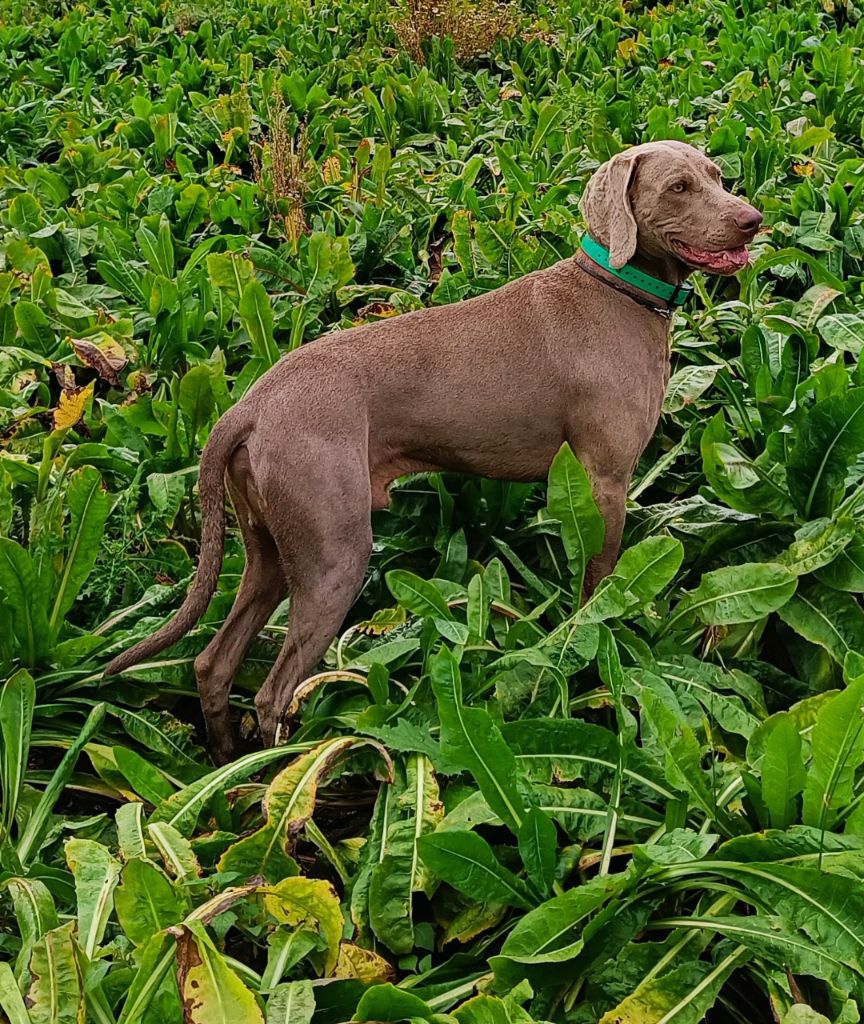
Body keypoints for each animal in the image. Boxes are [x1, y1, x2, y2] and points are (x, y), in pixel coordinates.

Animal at [106, 140, 761, 761]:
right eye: (678, 187)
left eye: (718, 176)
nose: (752, 219)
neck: (619, 288)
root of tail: (251, 405)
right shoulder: (604, 480)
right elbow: (595, 582)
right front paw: (597, 641)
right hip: (334, 550)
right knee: (273, 691)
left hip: (270, 545)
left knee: (213, 663)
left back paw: (225, 763)